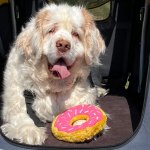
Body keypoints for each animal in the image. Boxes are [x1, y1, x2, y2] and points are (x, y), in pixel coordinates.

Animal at [0, 3, 105, 144]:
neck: (54, 85)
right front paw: (30, 131)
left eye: (75, 34)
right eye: (51, 30)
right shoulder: (17, 100)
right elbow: (21, 115)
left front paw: (84, 127)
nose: (63, 45)